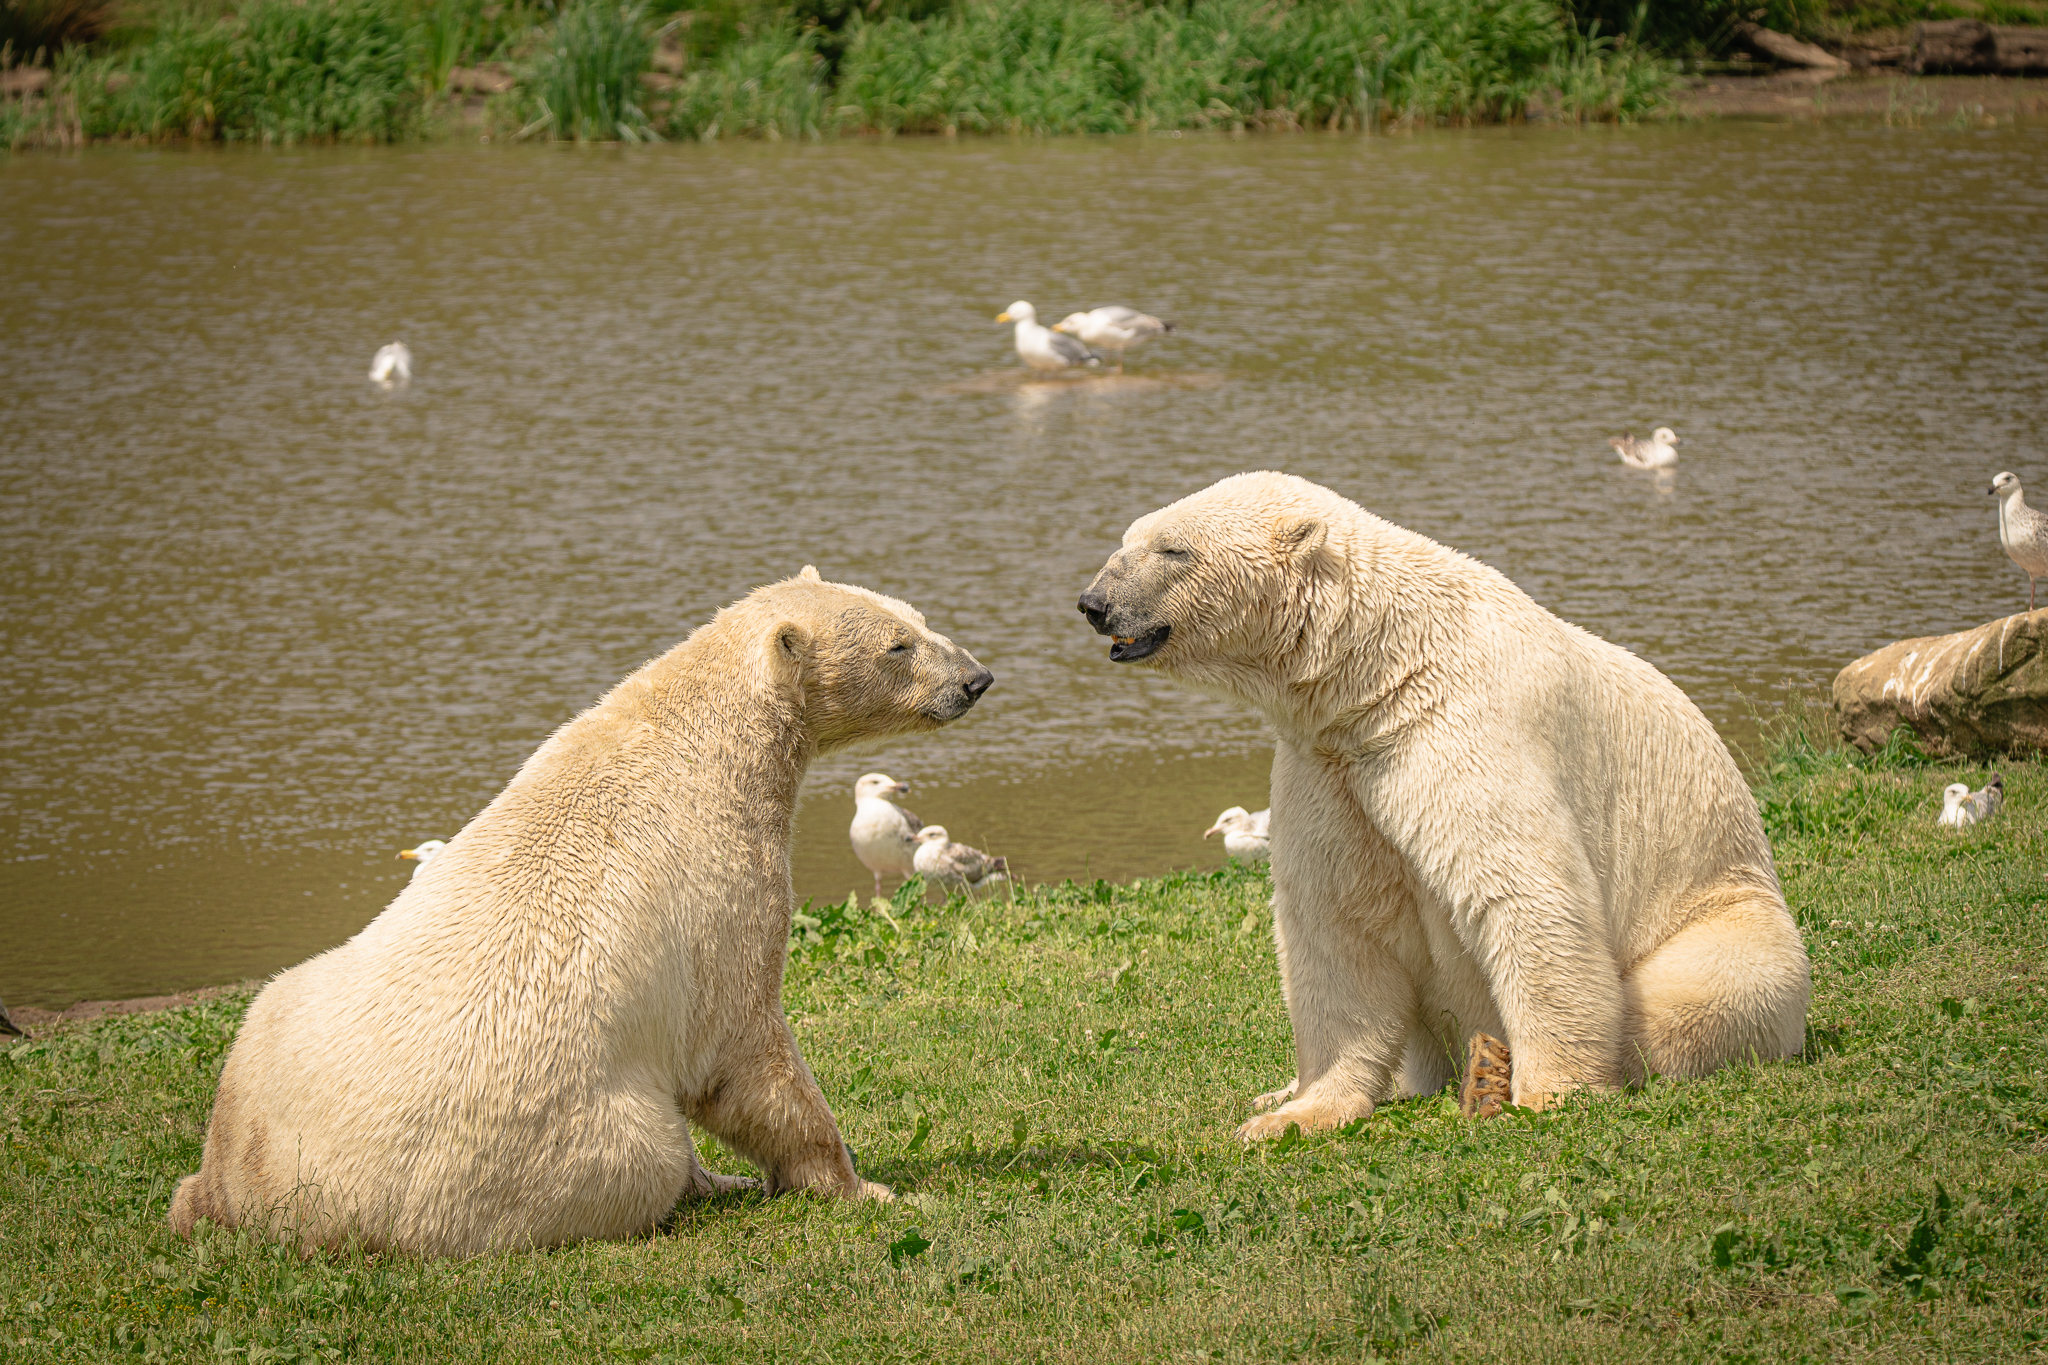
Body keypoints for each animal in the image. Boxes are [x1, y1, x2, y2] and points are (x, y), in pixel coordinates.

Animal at [168, 568, 993, 1254]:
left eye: (917, 615)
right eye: (898, 643)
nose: (976, 678)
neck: (691, 737)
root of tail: (249, 1195)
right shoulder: (718, 894)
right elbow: (743, 1049)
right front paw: (863, 1184)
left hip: (273, 1022)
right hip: (564, 1147)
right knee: (648, 1150)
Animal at [1078, 472, 1809, 1138]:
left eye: (1172, 549)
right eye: (1129, 538)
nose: (1093, 602)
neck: (1383, 669)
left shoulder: (1463, 731)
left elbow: (1525, 894)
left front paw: (1548, 1091)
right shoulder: (1326, 768)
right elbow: (1334, 925)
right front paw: (1295, 1112)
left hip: (1726, 912)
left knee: (1692, 995)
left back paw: (1492, 1074)